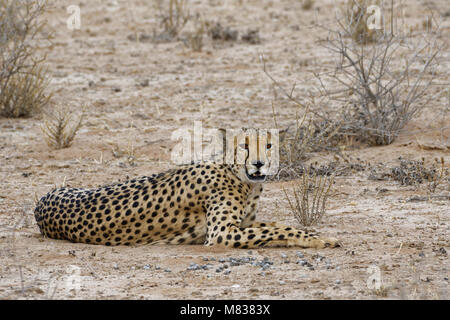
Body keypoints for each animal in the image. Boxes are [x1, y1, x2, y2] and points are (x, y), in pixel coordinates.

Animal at [35, 129, 342, 249]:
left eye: (267, 145)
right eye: (244, 145)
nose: (258, 163)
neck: (242, 179)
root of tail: (43, 199)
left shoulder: (243, 223)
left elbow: (278, 225)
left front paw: (314, 233)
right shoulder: (221, 233)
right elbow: (279, 230)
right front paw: (322, 239)